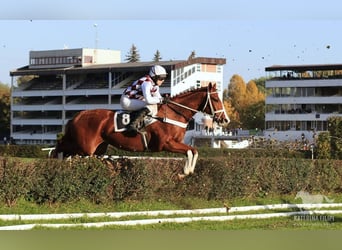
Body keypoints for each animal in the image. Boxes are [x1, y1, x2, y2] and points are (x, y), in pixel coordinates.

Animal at [52, 83, 230, 177]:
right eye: (216, 99)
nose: (225, 120)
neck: (174, 113)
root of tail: (78, 116)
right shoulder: (165, 144)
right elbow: (190, 151)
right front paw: (185, 171)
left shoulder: (177, 143)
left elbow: (193, 150)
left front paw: (187, 171)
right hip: (84, 147)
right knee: (60, 148)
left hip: (97, 149)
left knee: (65, 150)